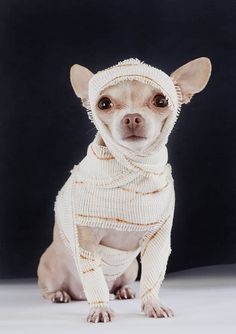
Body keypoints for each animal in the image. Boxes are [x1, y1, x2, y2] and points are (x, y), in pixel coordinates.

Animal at [37, 56, 212, 322]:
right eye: (103, 103)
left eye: (161, 101)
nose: (131, 117)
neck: (133, 170)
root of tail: (78, 294)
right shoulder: (86, 241)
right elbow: (94, 278)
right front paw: (99, 308)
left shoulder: (157, 240)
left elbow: (153, 277)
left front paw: (152, 304)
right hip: (50, 269)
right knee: (53, 289)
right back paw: (60, 295)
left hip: (132, 268)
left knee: (121, 283)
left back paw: (124, 290)